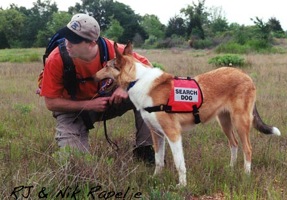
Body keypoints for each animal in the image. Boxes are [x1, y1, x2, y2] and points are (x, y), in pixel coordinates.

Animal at [94, 41, 282, 186]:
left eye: (106, 66)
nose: (93, 76)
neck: (138, 79)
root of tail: (244, 74)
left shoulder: (173, 134)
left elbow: (179, 164)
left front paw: (182, 186)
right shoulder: (157, 134)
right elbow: (158, 160)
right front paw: (155, 178)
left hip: (240, 121)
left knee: (248, 149)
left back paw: (246, 175)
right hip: (224, 121)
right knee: (234, 144)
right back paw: (231, 168)